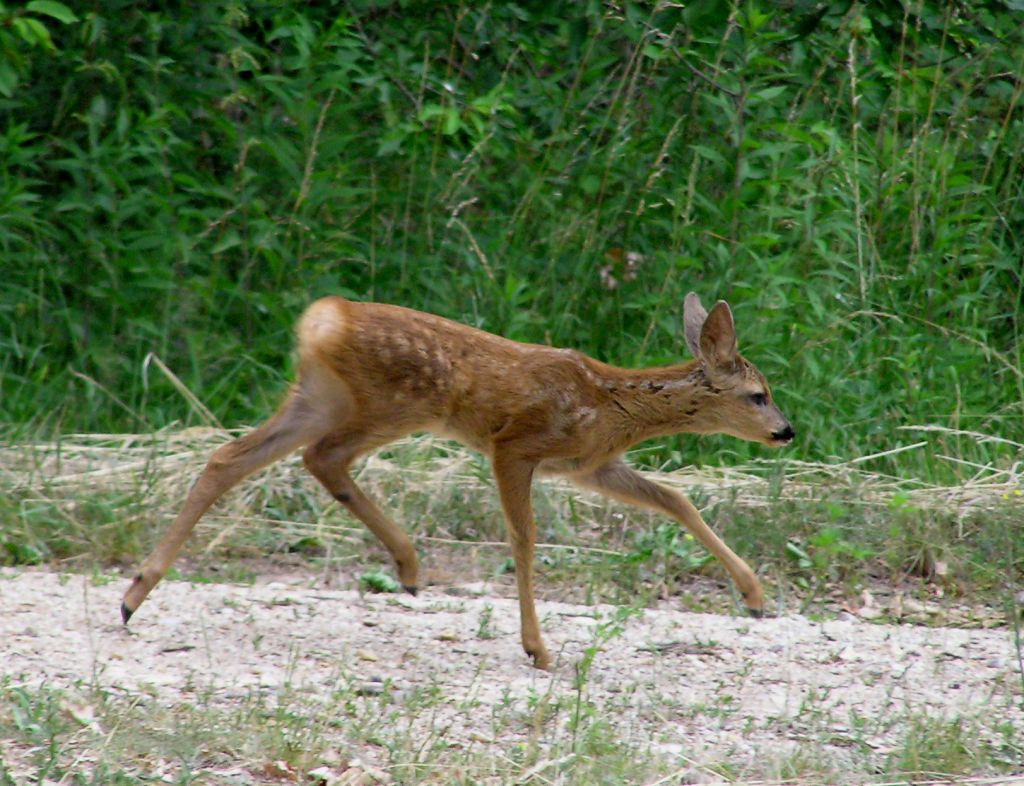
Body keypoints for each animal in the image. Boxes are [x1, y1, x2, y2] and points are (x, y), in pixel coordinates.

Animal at [119, 292, 790, 671]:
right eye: (757, 394)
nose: (786, 430)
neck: (611, 406)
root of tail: (322, 320)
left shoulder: (589, 465)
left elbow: (675, 498)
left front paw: (755, 596)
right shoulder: (516, 446)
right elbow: (525, 538)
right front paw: (537, 648)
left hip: (319, 396)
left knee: (232, 457)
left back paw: (134, 595)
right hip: (391, 404)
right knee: (320, 458)